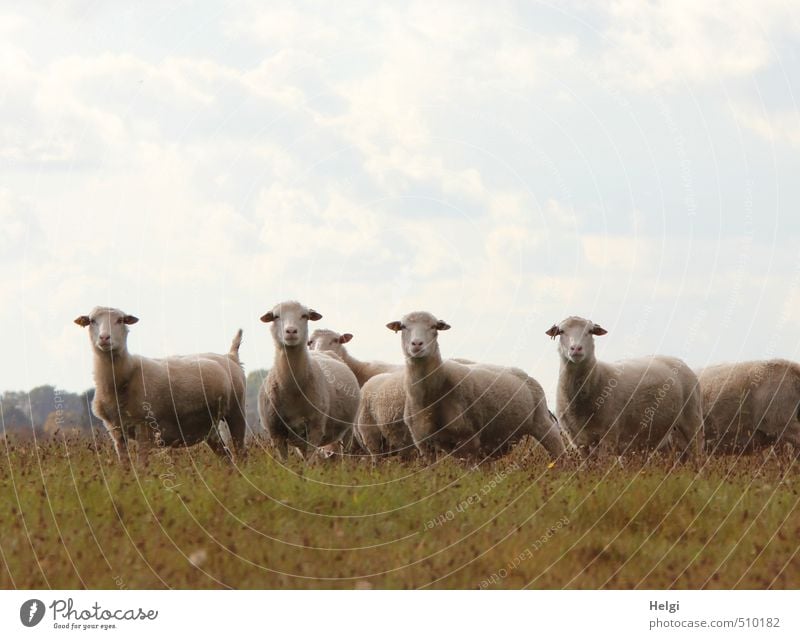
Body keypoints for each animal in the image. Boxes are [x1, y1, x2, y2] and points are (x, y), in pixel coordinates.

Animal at [74, 306, 247, 464]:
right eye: (92, 321)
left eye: (121, 320)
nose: (104, 338)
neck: (126, 374)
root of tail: (230, 357)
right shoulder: (115, 430)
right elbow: (125, 467)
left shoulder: (144, 426)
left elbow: (141, 467)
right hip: (209, 426)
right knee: (227, 458)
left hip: (236, 410)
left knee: (241, 454)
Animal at [258, 302, 360, 460]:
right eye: (275, 316)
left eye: (304, 316)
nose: (291, 331)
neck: (292, 389)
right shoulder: (276, 433)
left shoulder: (315, 429)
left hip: (347, 429)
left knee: (345, 453)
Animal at [386, 312, 564, 462]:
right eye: (403, 327)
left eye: (434, 326)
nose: (417, 344)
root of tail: (523, 374)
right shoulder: (423, 444)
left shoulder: (468, 441)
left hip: (542, 422)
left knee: (559, 452)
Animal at [544, 316, 700, 460]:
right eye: (561, 331)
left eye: (590, 331)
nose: (576, 348)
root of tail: (677, 360)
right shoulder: (578, 441)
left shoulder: (609, 436)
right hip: (665, 434)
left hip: (692, 421)